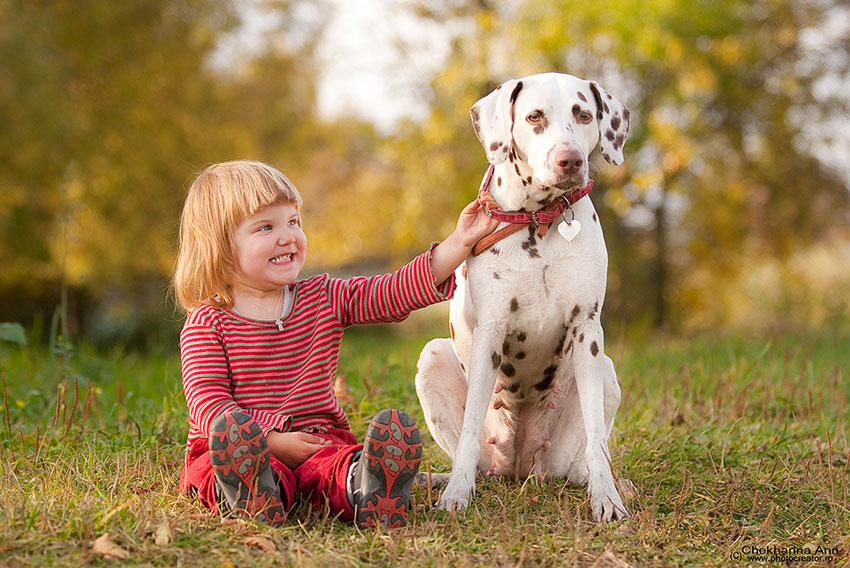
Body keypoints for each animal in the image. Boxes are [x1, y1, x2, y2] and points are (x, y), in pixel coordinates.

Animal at [412, 70, 628, 520]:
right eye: (534, 116)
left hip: (605, 371)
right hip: (432, 356)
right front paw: (456, 494)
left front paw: (607, 498)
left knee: (583, 461)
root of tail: (518, 467)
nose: (570, 160)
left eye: (583, 114)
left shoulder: (588, 331)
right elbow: (471, 426)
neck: (540, 221)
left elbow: (599, 441)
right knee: (473, 457)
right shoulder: (491, 331)